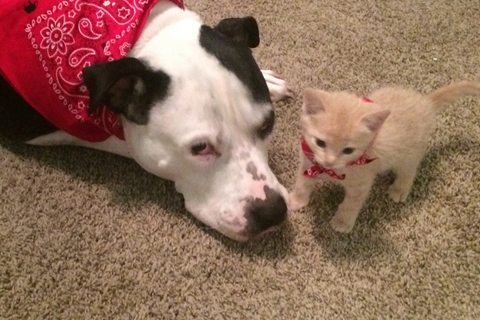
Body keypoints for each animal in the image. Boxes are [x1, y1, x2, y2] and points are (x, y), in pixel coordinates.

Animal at [288, 82, 480, 232]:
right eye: (320, 143)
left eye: (348, 150)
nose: (329, 161)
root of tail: (425, 102)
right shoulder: (308, 160)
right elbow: (302, 183)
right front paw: (296, 200)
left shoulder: (362, 182)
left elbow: (352, 203)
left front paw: (342, 222)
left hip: (409, 155)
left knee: (409, 170)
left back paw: (400, 189)